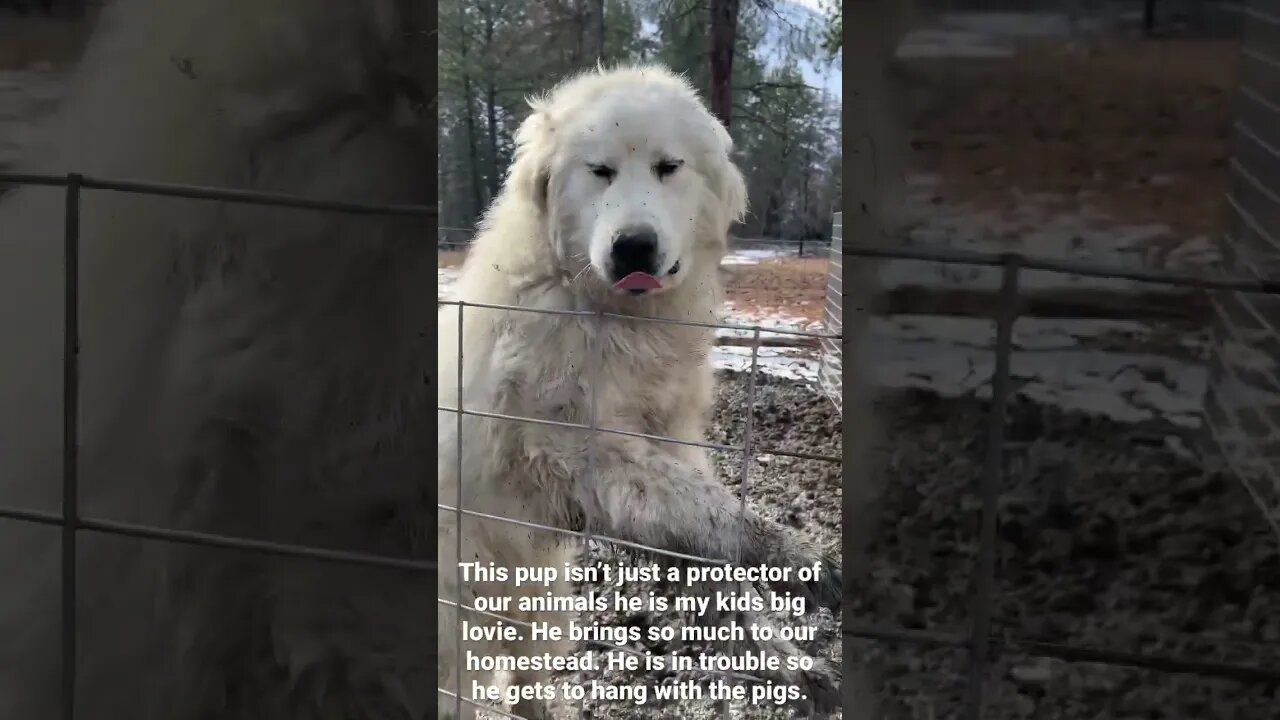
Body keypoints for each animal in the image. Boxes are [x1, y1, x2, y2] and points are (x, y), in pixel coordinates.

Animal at [435, 64, 844, 712]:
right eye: (599, 171)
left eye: (668, 167)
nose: (632, 246)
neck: (613, 321)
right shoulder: (574, 446)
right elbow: (715, 511)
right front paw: (799, 555)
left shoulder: (669, 440)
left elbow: (711, 546)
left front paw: (785, 656)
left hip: (541, 609)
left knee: (526, 681)